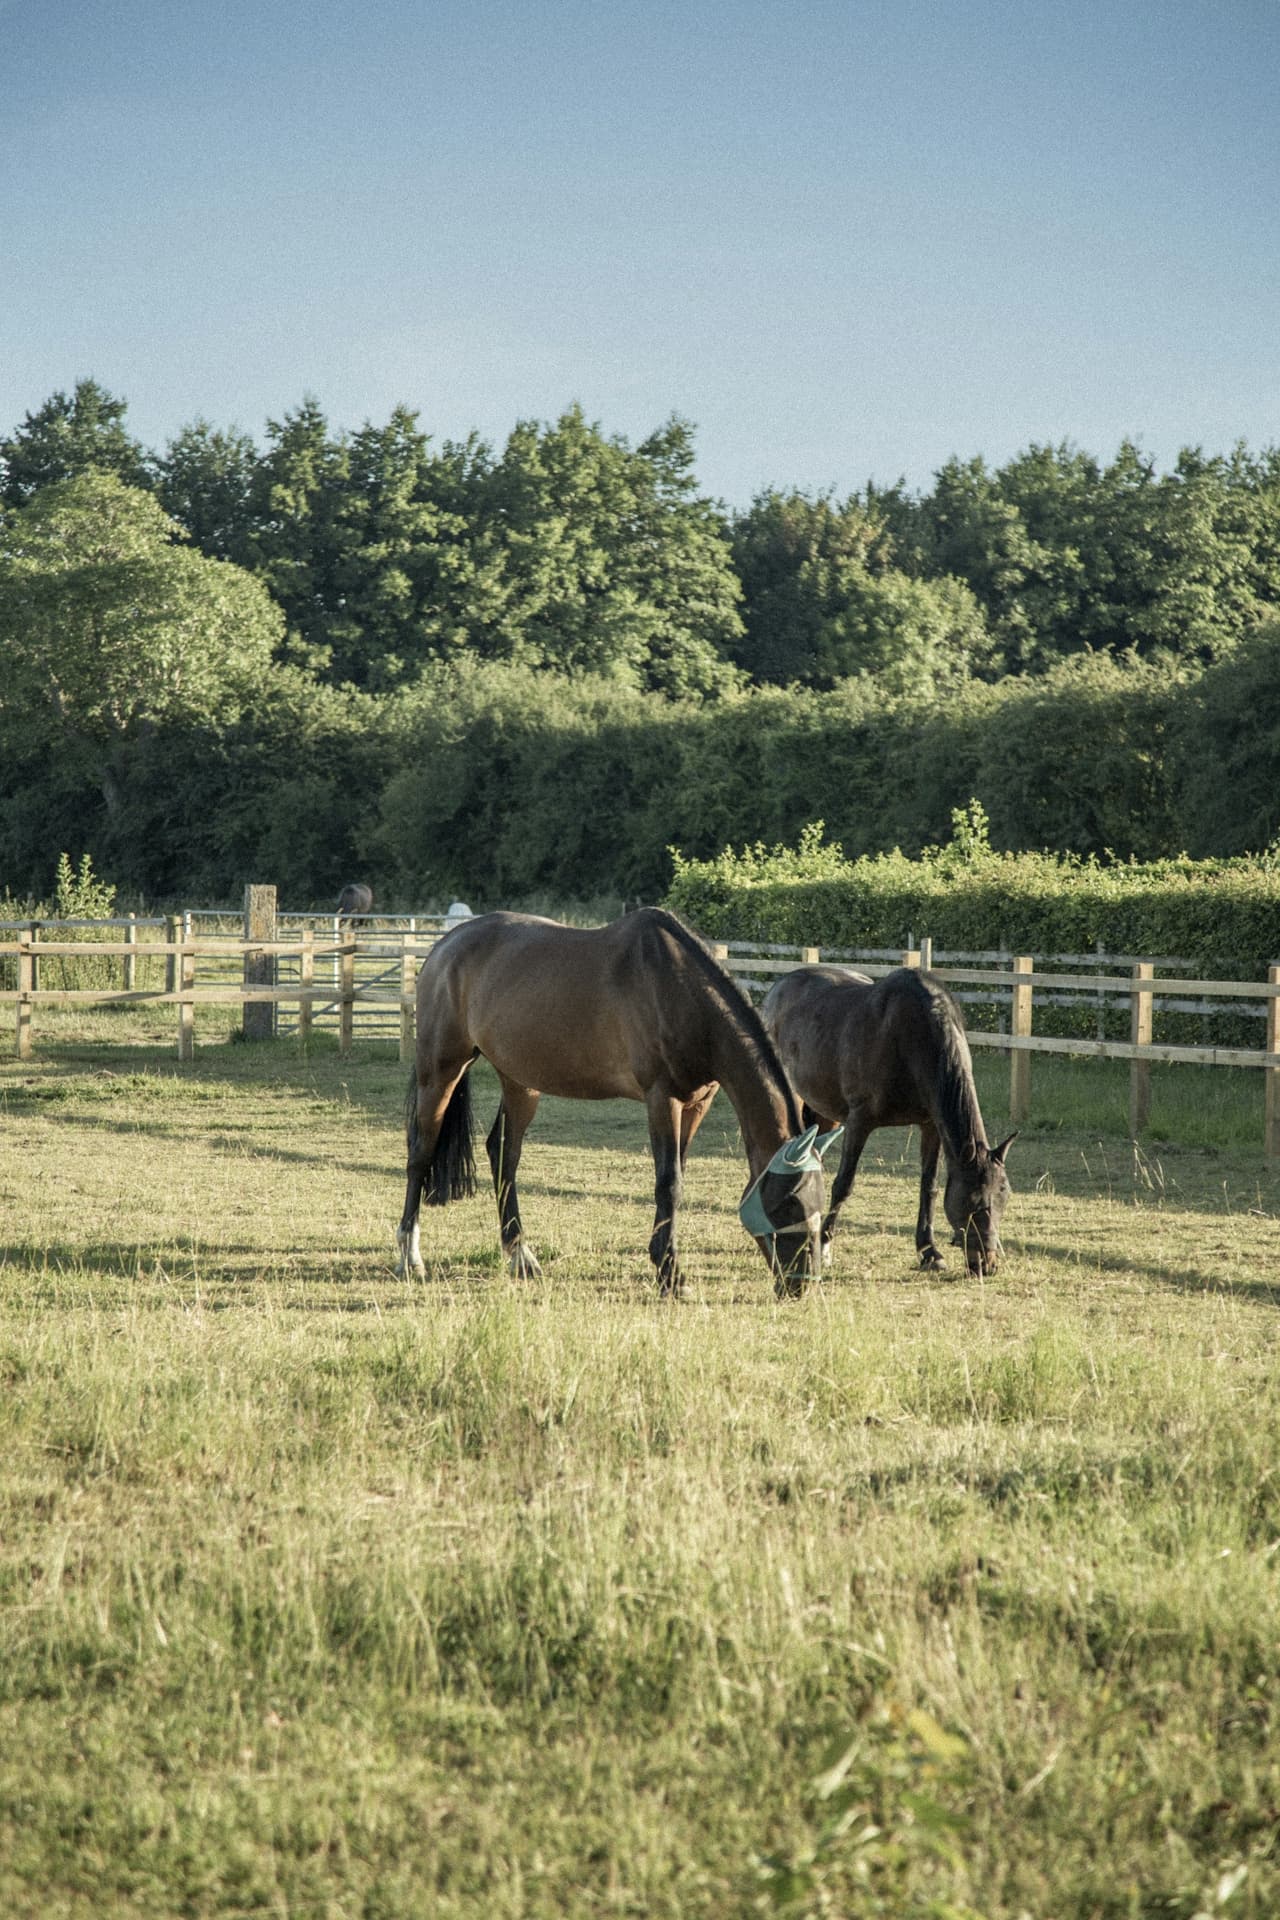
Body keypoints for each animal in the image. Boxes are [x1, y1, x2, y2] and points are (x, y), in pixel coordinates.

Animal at [395, 907, 843, 1296]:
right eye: (787, 1204)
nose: (800, 1283)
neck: (679, 991)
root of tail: (445, 945)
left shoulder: (697, 1104)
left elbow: (676, 1177)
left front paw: (666, 1265)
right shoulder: (662, 1098)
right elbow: (669, 1183)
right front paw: (671, 1275)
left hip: (520, 1082)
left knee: (503, 1152)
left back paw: (520, 1255)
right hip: (440, 1071)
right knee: (421, 1153)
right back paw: (410, 1255)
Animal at [761, 965, 1015, 1276]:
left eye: (1004, 1197)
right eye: (974, 1202)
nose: (987, 1264)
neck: (910, 1039)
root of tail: (780, 985)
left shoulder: (931, 1125)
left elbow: (928, 1187)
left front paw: (929, 1251)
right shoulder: (859, 1121)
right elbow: (844, 1184)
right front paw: (824, 1247)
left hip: (825, 1114)